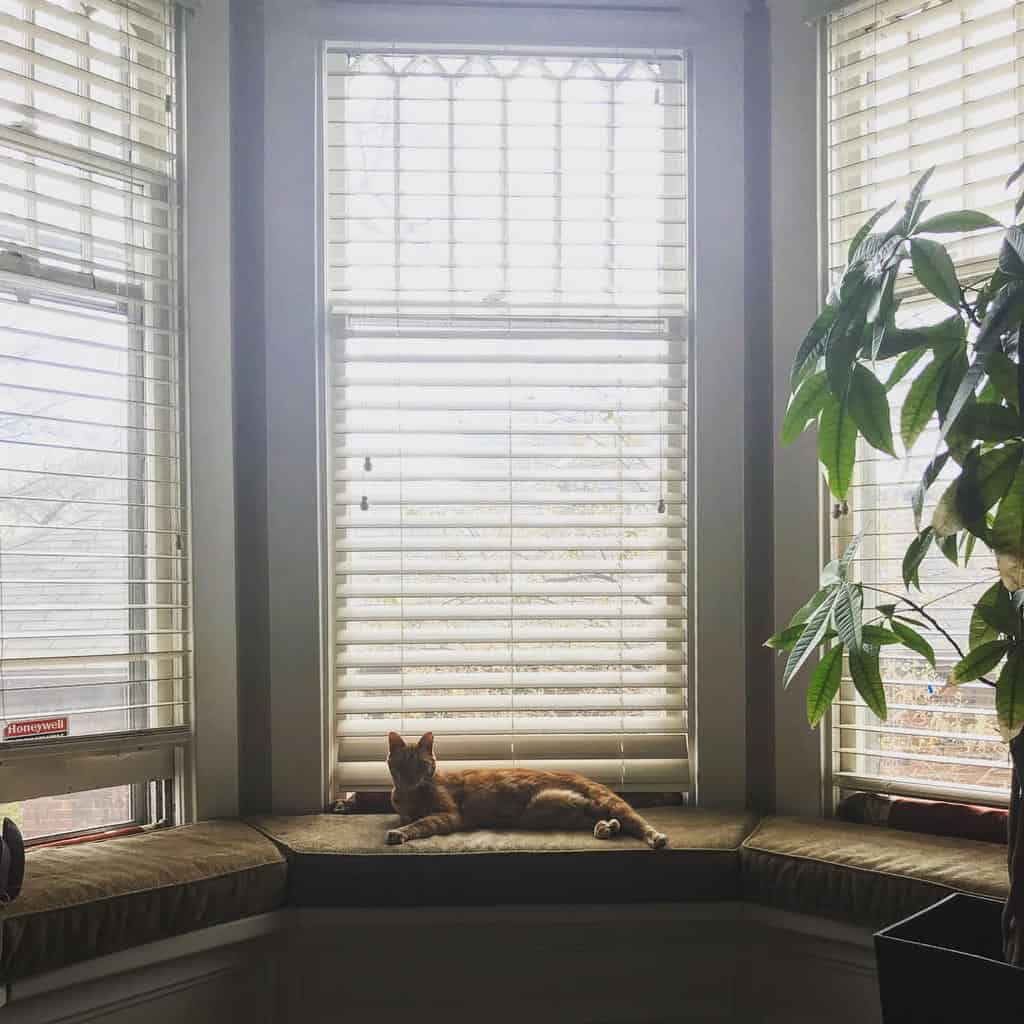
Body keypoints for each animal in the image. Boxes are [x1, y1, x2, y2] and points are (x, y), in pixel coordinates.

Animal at [387, 733, 667, 851]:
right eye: (402, 765)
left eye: (421, 765)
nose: (411, 778)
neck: (409, 796)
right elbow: (411, 819)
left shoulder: (449, 814)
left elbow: (420, 823)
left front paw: (399, 833)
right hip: (561, 813)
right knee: (607, 820)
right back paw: (606, 828)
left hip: (610, 804)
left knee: (639, 823)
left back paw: (656, 838)